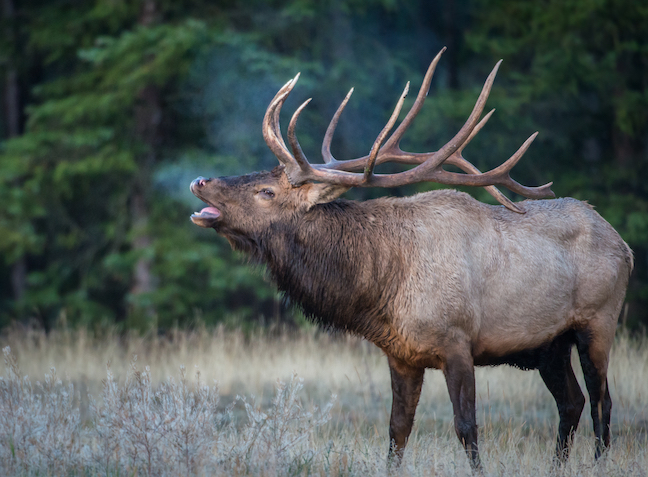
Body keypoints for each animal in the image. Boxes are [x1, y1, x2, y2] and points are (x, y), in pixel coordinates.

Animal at [189, 48, 632, 468]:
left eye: (266, 191)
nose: (199, 180)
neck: (383, 287)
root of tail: (623, 246)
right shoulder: (401, 355)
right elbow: (397, 429)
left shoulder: (458, 340)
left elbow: (466, 427)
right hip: (550, 344)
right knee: (572, 401)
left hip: (598, 322)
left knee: (602, 402)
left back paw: (598, 462)